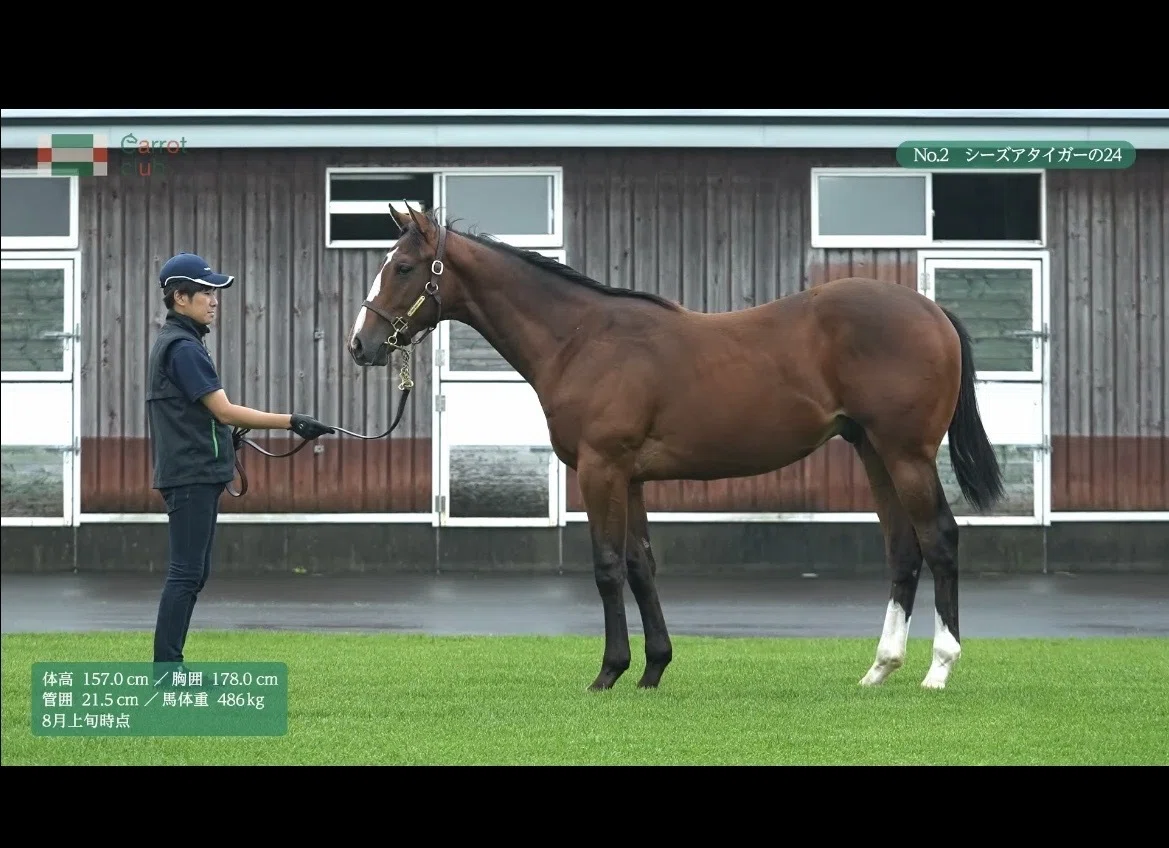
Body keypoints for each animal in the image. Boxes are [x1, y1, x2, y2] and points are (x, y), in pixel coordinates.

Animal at [347, 202, 1005, 693]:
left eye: (404, 266)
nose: (361, 344)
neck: (582, 340)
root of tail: (932, 312)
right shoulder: (631, 477)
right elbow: (641, 565)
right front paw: (653, 668)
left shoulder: (601, 470)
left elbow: (608, 567)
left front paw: (608, 673)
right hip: (873, 453)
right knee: (903, 550)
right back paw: (880, 668)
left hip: (907, 454)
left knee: (939, 539)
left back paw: (939, 668)